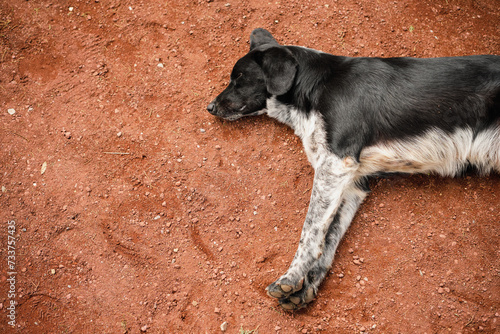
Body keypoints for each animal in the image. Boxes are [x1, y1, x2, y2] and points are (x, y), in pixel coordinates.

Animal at [205, 28, 498, 310]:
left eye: (239, 78)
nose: (210, 107)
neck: (315, 87)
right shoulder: (353, 183)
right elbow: (329, 237)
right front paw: (306, 285)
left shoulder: (335, 164)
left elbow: (310, 230)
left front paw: (291, 276)